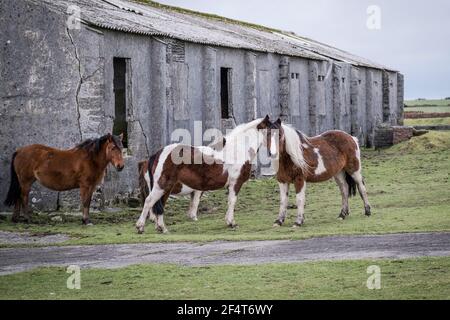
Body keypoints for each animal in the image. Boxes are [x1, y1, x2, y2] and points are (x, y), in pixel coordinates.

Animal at [135, 116, 272, 234]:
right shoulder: (235, 183)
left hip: (166, 188)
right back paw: (140, 227)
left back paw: (162, 228)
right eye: (271, 131)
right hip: (161, 186)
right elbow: (232, 201)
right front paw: (231, 223)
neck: (237, 149)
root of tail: (158, 153)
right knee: (149, 201)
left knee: (159, 205)